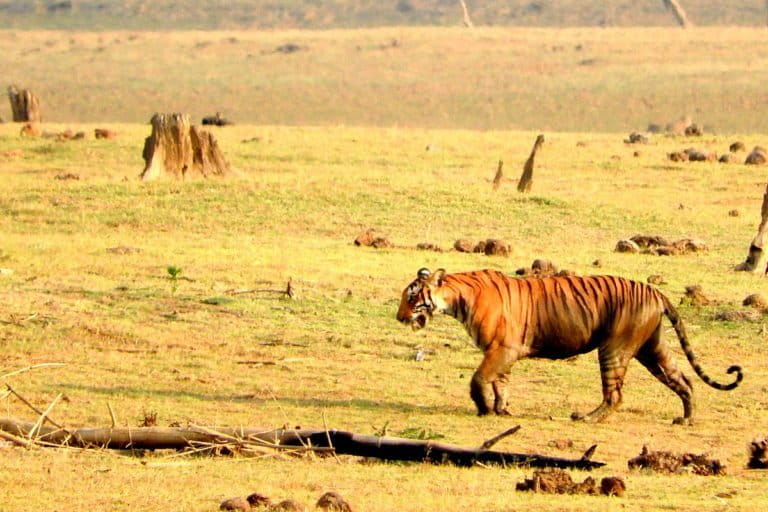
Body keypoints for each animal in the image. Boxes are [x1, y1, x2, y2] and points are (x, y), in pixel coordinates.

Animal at [400, 268, 740, 424]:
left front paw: (484, 409)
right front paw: (502, 410)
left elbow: (479, 378)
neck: (456, 299)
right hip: (652, 349)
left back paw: (588, 418)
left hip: (614, 349)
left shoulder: (503, 349)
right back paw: (687, 418)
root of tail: (656, 291)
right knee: (683, 380)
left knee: (615, 394)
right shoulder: (500, 353)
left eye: (412, 296)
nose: (399, 316)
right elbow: (501, 383)